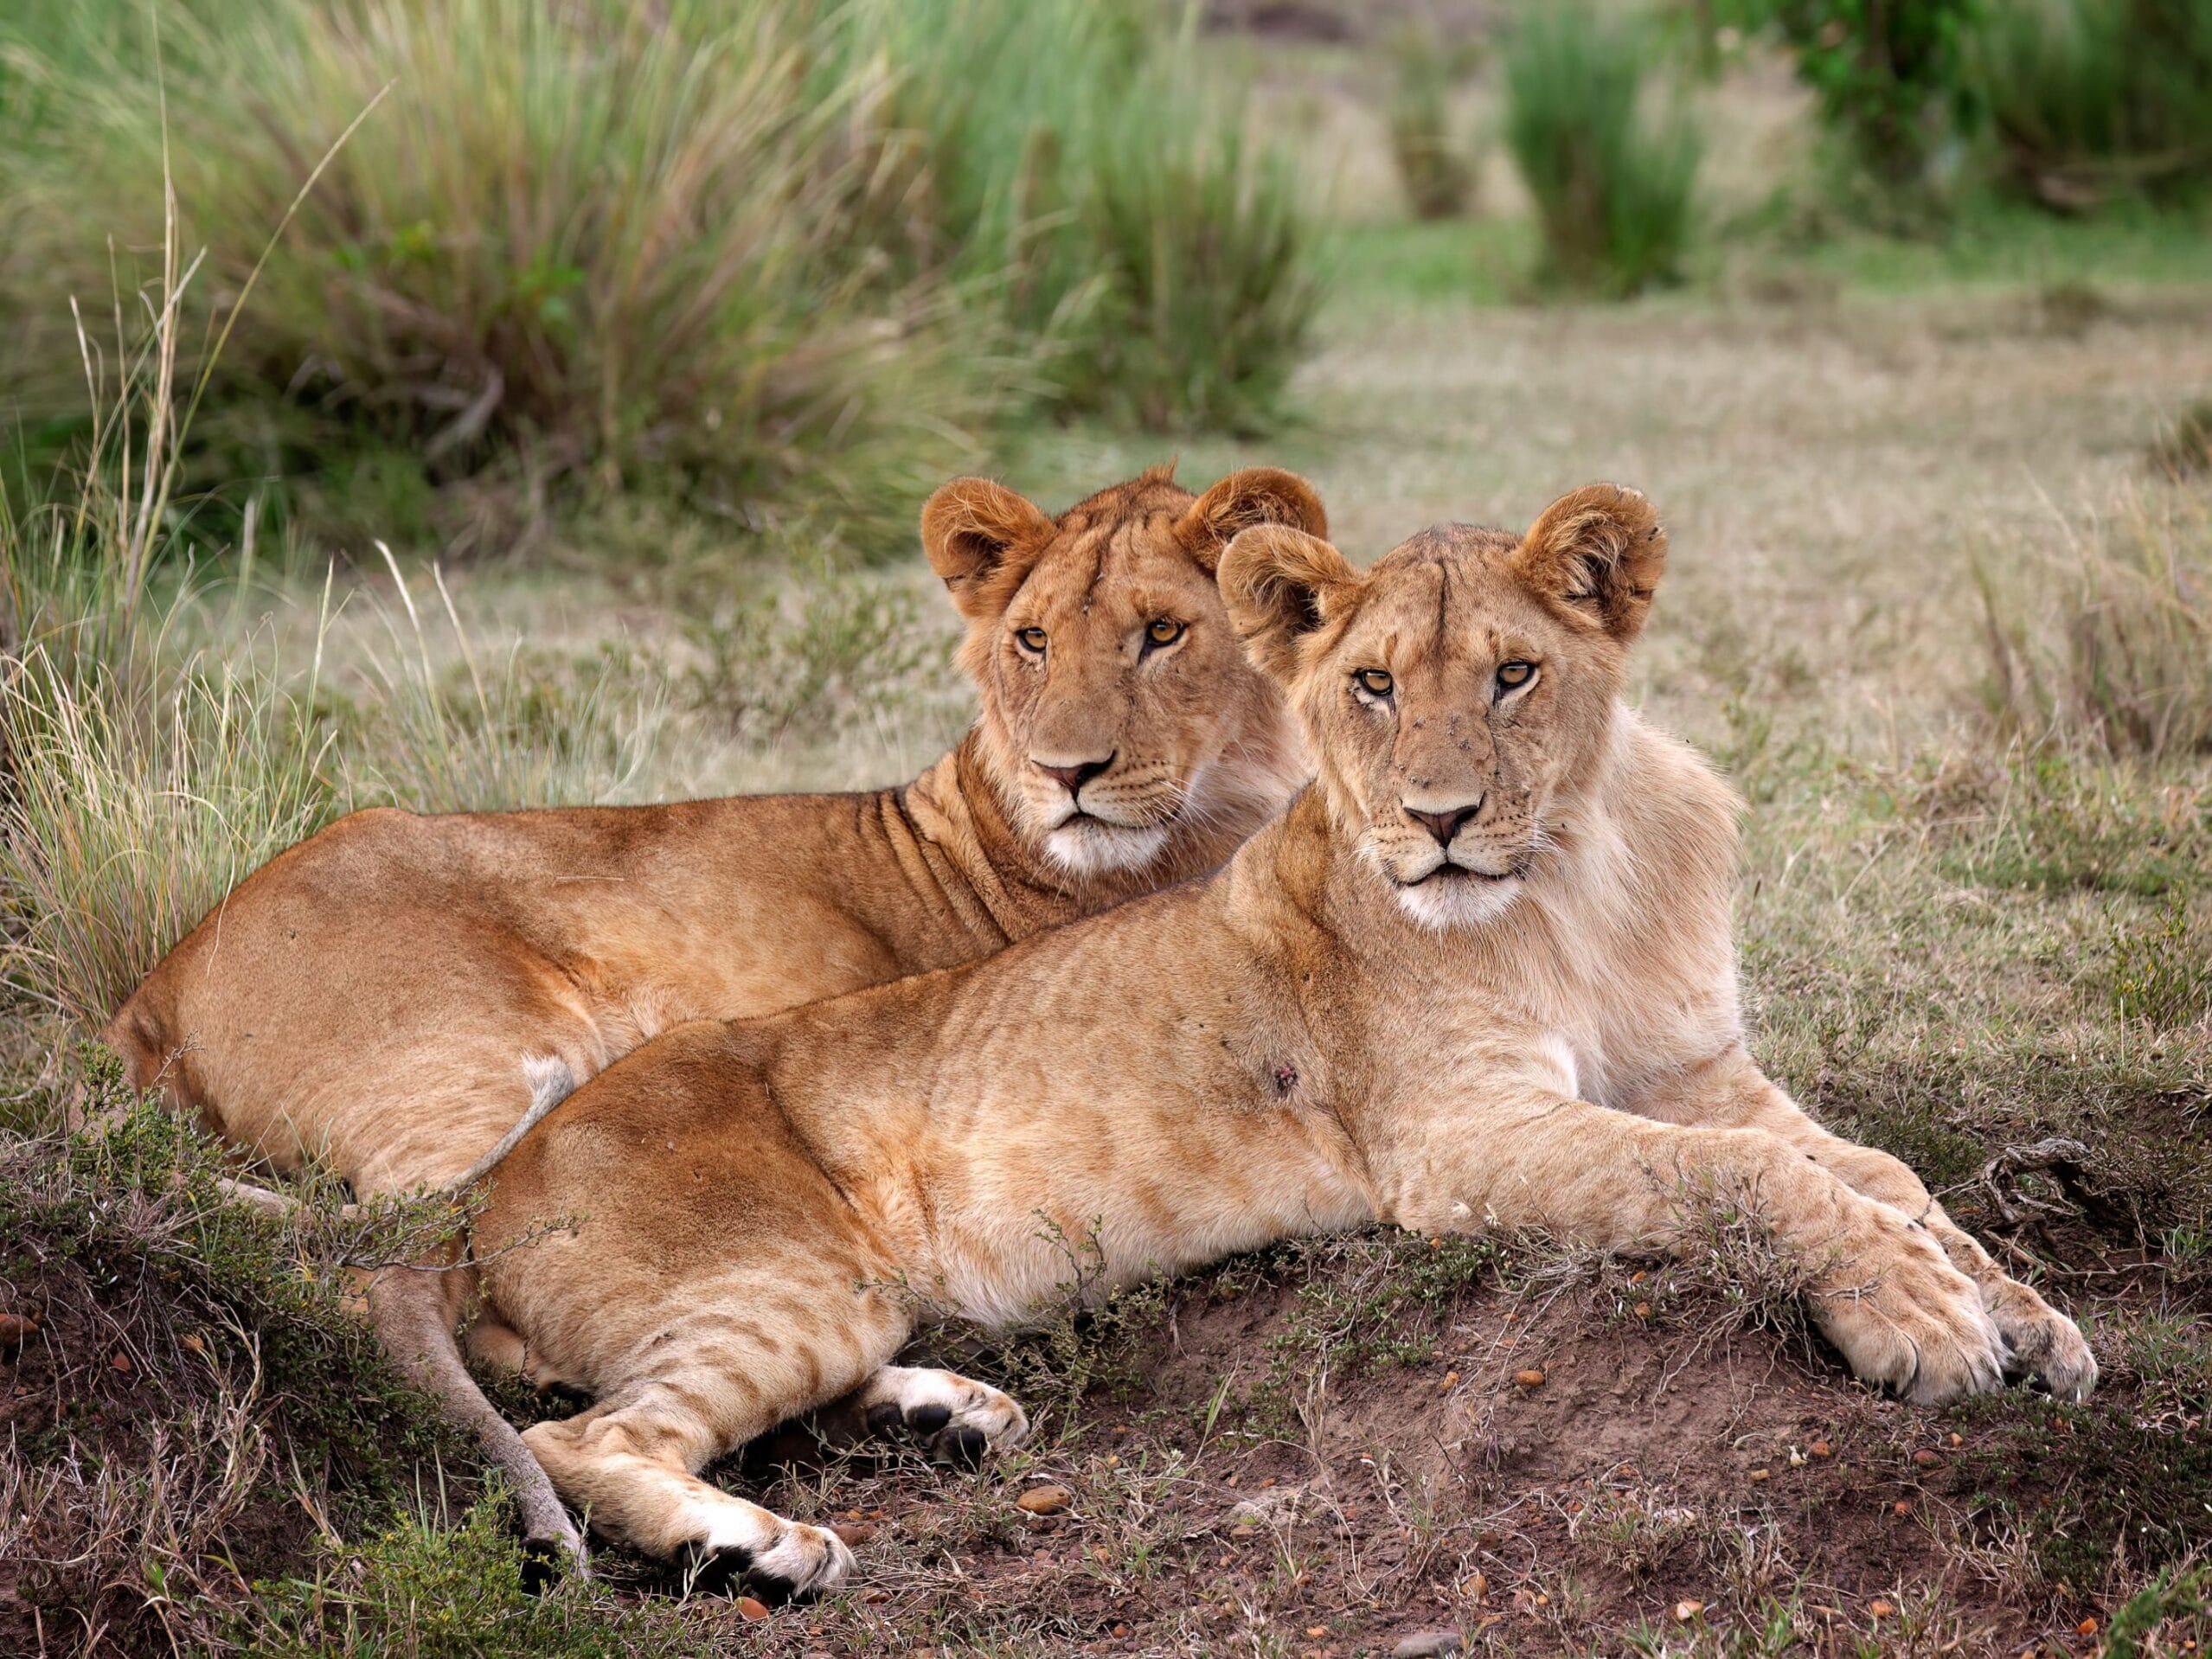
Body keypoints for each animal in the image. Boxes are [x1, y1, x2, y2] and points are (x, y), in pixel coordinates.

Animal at [401, 483, 2095, 1594]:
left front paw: (2026, 1312)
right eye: (1369, 683)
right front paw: (1927, 1321)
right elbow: (1756, 1182)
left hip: (835, 1296)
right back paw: (761, 1546)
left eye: (1515, 673)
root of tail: (480, 1199)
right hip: (777, 1275)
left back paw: (951, 1413)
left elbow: (1881, 1172)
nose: (1439, 820)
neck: (1582, 872)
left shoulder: (1696, 1068)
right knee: (582, 1433)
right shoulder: (1458, 1134)